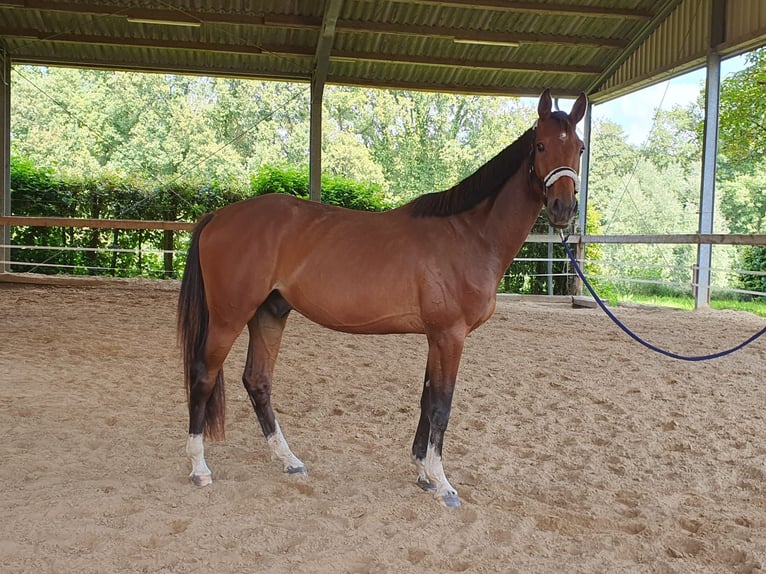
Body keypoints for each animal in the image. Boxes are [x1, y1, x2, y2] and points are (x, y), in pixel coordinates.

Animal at [178, 89, 588, 508]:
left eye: (580, 148)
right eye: (540, 146)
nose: (563, 208)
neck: (469, 234)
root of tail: (219, 216)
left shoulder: (436, 337)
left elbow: (427, 401)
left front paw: (423, 473)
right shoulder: (450, 336)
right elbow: (442, 406)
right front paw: (443, 483)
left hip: (269, 313)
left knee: (258, 381)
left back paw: (289, 460)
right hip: (229, 317)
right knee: (202, 376)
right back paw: (199, 468)